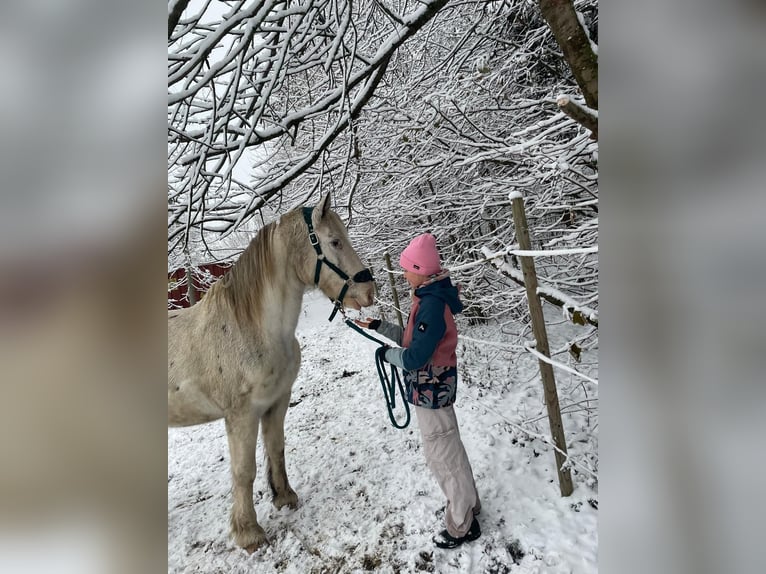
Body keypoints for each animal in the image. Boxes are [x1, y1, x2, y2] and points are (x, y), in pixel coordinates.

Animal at [168, 193, 375, 552]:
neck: (253, 330)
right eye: (335, 241)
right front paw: (249, 533)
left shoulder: (277, 402)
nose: (369, 291)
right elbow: (244, 471)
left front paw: (285, 497)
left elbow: (276, 449)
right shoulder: (241, 415)